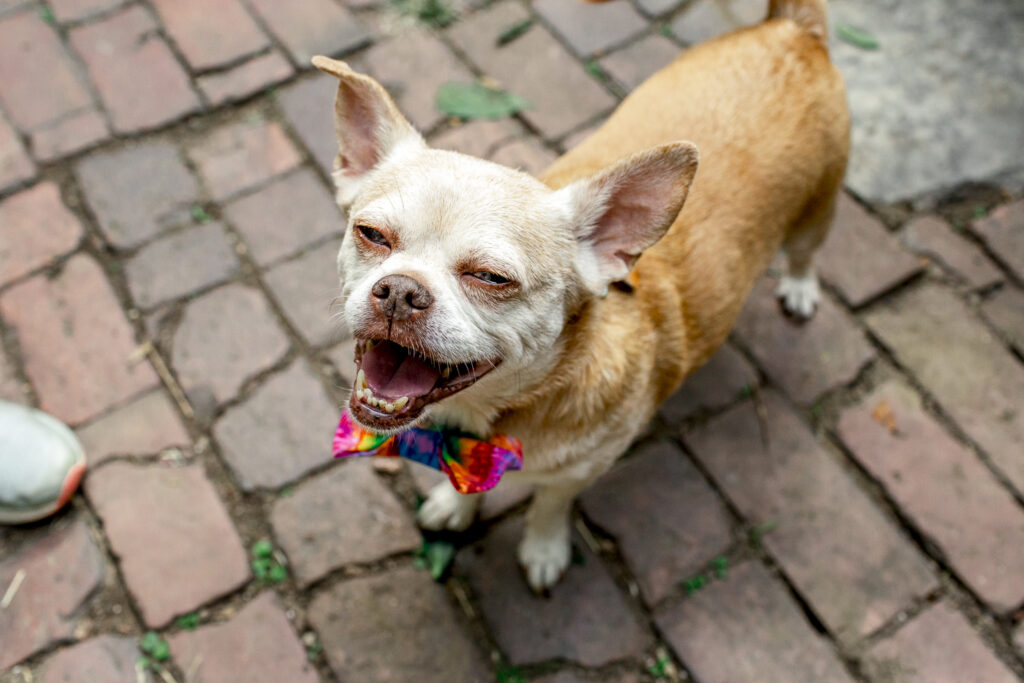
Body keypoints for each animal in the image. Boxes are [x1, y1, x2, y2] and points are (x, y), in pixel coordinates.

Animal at [311, 0, 847, 589]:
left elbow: (551, 503)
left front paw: (544, 549)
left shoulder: (582, 470)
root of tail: (792, 28)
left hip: (817, 212)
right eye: (371, 235)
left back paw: (800, 286)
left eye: (491, 278)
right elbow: (464, 484)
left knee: (806, 251)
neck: (487, 419)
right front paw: (456, 507)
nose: (400, 292)